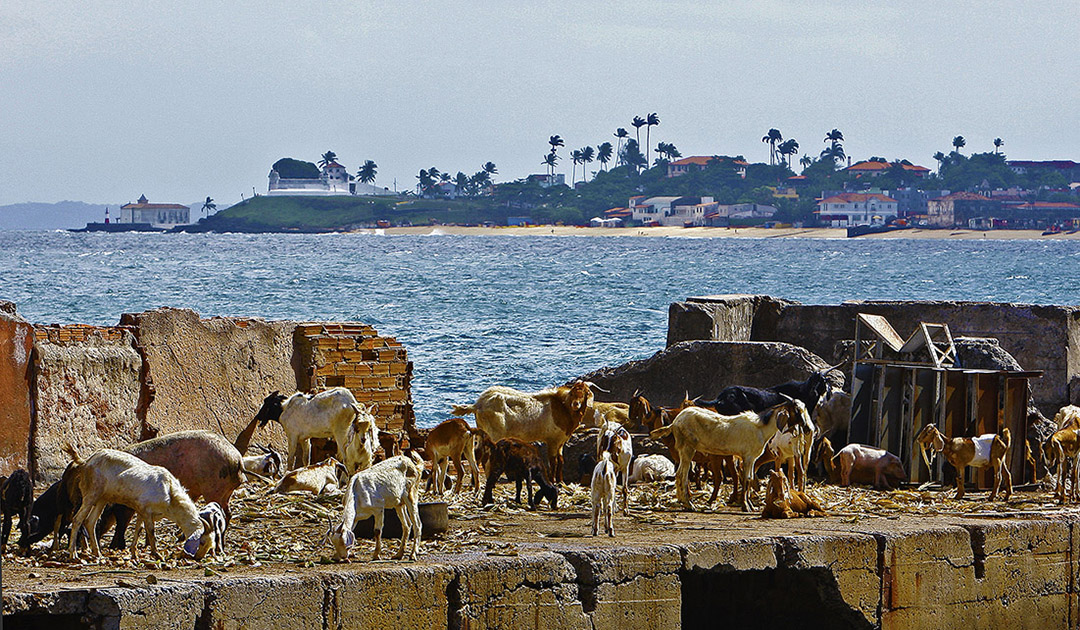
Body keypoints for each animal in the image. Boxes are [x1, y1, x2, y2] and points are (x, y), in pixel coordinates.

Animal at [65, 445, 210, 557]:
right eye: (202, 541)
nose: (199, 557)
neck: (170, 492)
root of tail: (85, 462)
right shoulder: (146, 510)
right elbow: (150, 531)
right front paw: (156, 554)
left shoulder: (141, 511)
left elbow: (138, 529)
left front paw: (134, 552)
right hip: (91, 494)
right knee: (77, 519)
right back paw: (73, 554)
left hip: (102, 498)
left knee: (90, 522)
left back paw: (97, 553)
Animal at [449, 380, 600, 484]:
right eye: (573, 392)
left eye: (585, 393)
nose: (575, 404)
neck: (563, 408)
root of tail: (478, 405)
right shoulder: (552, 440)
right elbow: (553, 461)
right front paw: (552, 481)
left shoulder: (561, 441)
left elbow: (561, 460)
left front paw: (561, 481)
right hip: (494, 434)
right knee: (486, 456)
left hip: (483, 431)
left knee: (478, 454)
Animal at [648, 399, 812, 512]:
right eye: (797, 411)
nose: (807, 428)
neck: (761, 428)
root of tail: (675, 422)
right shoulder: (748, 457)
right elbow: (746, 479)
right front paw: (746, 506)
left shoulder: (751, 458)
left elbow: (749, 478)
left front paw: (751, 505)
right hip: (687, 448)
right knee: (682, 474)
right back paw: (689, 505)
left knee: (680, 474)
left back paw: (684, 502)